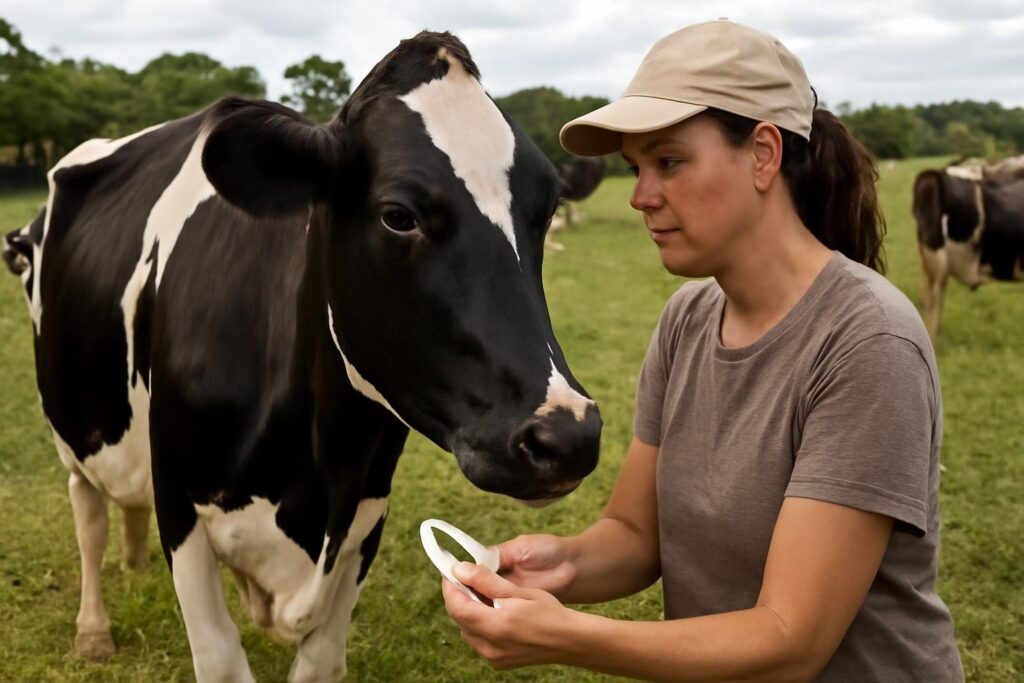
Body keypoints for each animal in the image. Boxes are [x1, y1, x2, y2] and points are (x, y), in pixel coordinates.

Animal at [2, 31, 601, 682]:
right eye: (398, 216)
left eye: (545, 212)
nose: (568, 436)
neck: (318, 472)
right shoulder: (180, 505)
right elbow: (220, 658)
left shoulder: (367, 511)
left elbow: (320, 663)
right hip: (69, 426)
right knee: (87, 512)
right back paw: (93, 631)